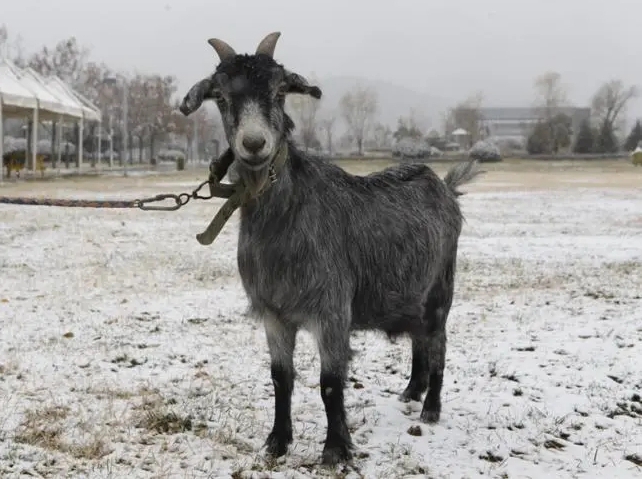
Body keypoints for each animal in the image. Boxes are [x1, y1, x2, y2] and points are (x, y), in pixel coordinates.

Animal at [179, 31, 480, 466]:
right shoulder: (274, 313)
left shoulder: (332, 310)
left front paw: (336, 449)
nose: (254, 143)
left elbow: (330, 383)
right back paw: (411, 392)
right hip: (411, 292)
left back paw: (431, 408)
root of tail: (445, 186)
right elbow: (281, 378)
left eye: (280, 90)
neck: (284, 218)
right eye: (219, 96)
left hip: (442, 288)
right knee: (420, 339)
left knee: (438, 340)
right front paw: (277, 442)